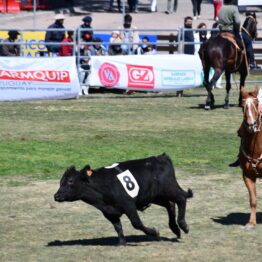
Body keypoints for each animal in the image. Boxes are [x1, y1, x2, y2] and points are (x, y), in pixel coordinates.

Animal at [54, 154, 192, 246]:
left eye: (70, 181)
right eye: (61, 182)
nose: (56, 196)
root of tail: (161, 157)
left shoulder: (128, 204)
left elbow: (136, 223)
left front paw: (154, 232)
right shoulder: (109, 212)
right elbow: (118, 227)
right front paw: (121, 242)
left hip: (169, 189)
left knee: (181, 199)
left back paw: (183, 226)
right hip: (155, 196)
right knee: (170, 204)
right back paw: (175, 229)